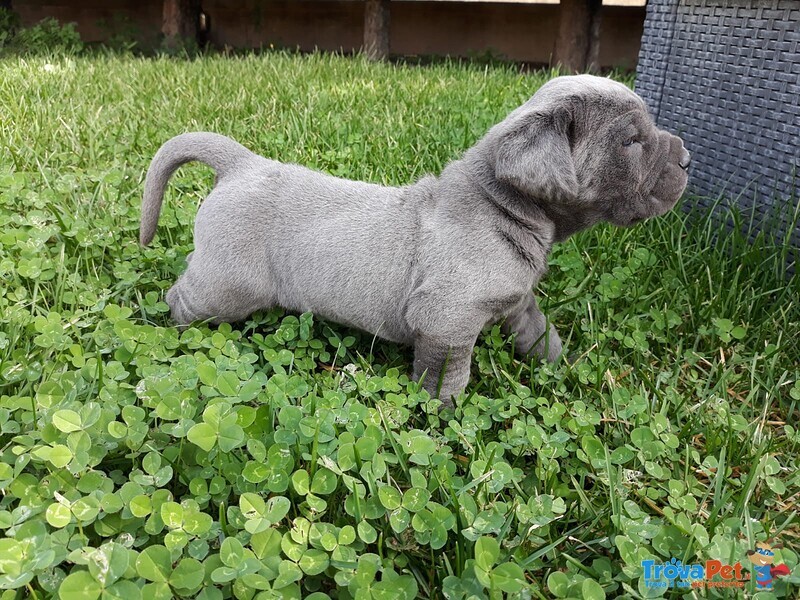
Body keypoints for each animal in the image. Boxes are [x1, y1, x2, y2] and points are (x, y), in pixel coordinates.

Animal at [138, 74, 688, 404]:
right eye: (631, 141)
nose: (685, 158)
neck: (498, 205)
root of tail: (242, 164)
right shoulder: (447, 323)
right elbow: (450, 375)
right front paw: (446, 417)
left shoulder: (517, 303)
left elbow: (539, 335)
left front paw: (565, 367)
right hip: (227, 284)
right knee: (181, 298)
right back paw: (169, 332)